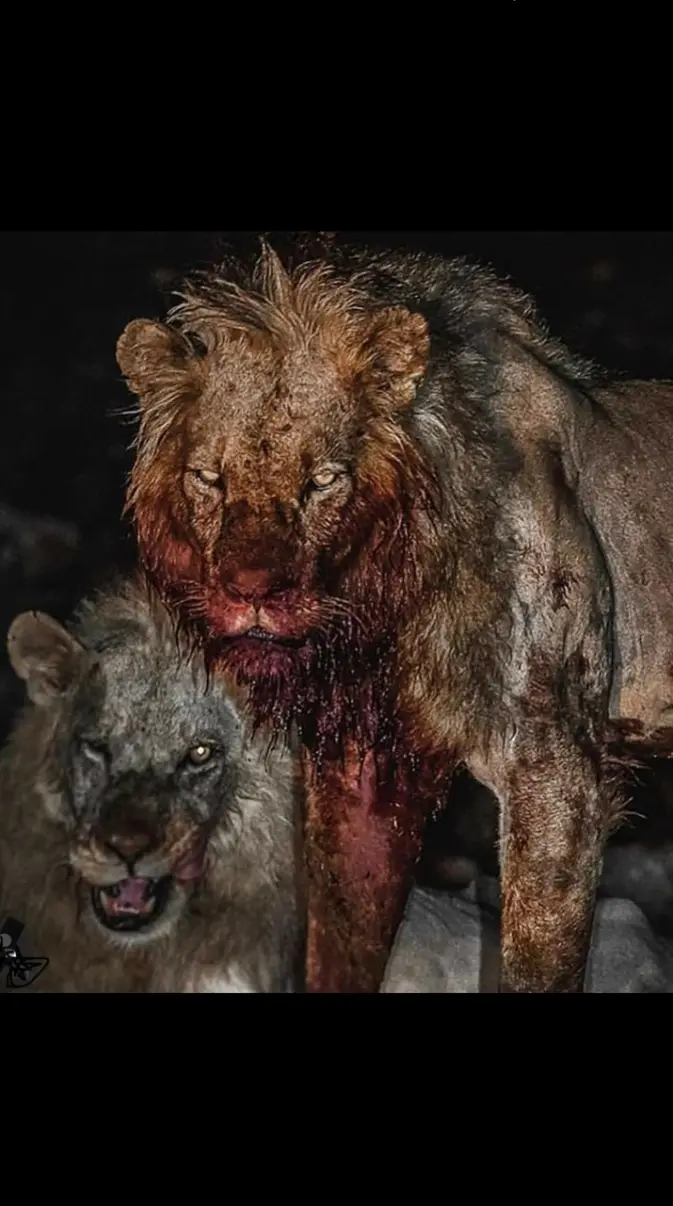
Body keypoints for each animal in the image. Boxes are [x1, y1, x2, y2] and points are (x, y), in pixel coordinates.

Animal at [117, 236, 673, 993]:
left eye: (322, 480)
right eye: (208, 478)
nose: (251, 592)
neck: (385, 602)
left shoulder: (555, 768)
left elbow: (536, 961)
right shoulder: (361, 770)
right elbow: (338, 940)